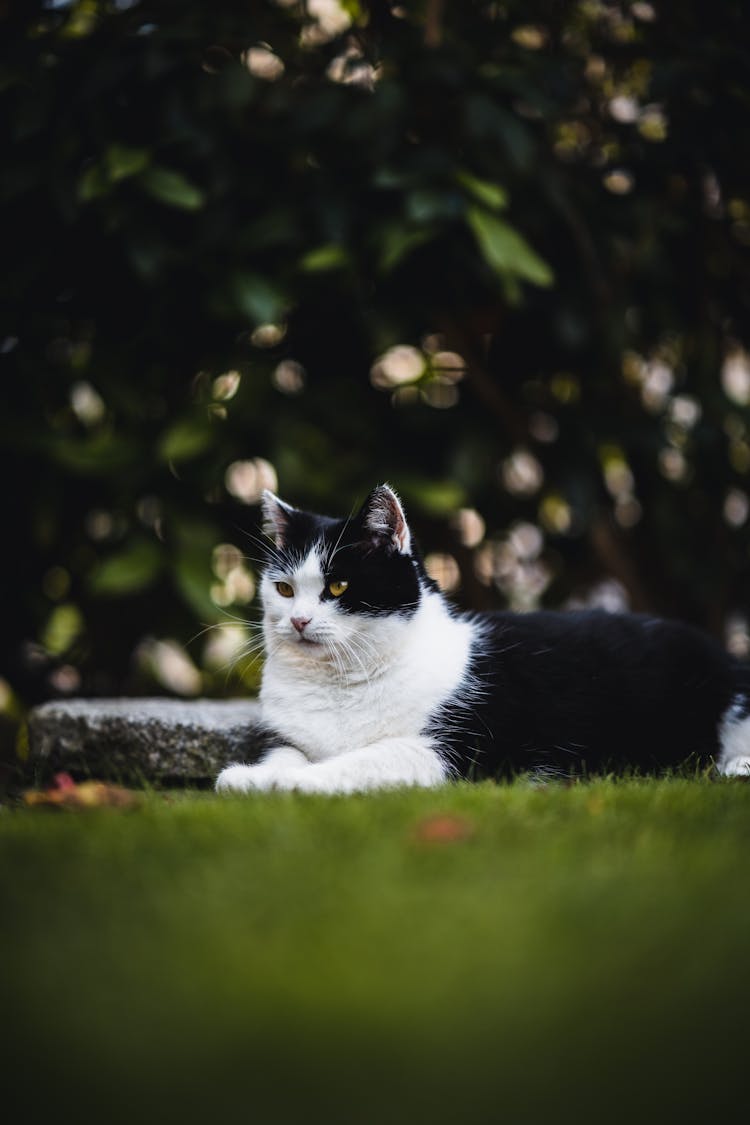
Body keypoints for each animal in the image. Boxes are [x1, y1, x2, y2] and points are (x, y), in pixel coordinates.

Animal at [213, 481, 750, 792]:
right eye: (283, 589)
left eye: (339, 586)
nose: (298, 621)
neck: (339, 683)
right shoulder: (292, 737)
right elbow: (287, 755)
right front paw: (256, 775)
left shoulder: (453, 752)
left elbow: (351, 765)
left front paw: (276, 784)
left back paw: (734, 769)